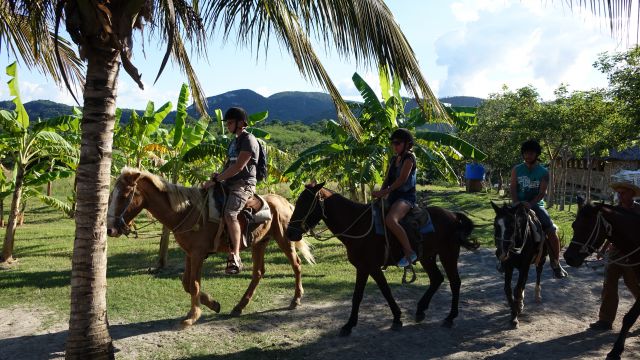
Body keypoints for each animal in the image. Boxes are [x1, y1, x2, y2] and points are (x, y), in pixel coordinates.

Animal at [107, 169, 316, 326]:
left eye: (124, 196)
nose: (110, 229)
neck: (186, 211)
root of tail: (284, 202)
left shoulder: (198, 254)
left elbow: (194, 284)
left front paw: (192, 316)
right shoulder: (189, 254)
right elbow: (186, 283)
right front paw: (213, 304)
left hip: (284, 240)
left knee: (296, 264)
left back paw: (296, 299)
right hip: (259, 243)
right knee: (258, 273)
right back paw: (239, 306)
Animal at [284, 183, 476, 338]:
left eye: (305, 203)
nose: (290, 233)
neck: (357, 226)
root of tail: (452, 215)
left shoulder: (368, 267)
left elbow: (373, 293)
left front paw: (352, 325)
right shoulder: (366, 268)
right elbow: (371, 293)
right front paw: (393, 319)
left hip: (448, 254)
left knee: (455, 282)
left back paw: (450, 317)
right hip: (427, 257)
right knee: (437, 279)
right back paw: (421, 310)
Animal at [492, 202, 548, 330]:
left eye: (512, 226)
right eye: (495, 225)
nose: (500, 253)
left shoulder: (524, 266)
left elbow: (517, 289)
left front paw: (514, 317)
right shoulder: (509, 266)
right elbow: (508, 289)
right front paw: (515, 310)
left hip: (541, 260)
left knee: (538, 273)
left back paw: (537, 295)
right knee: (524, 282)